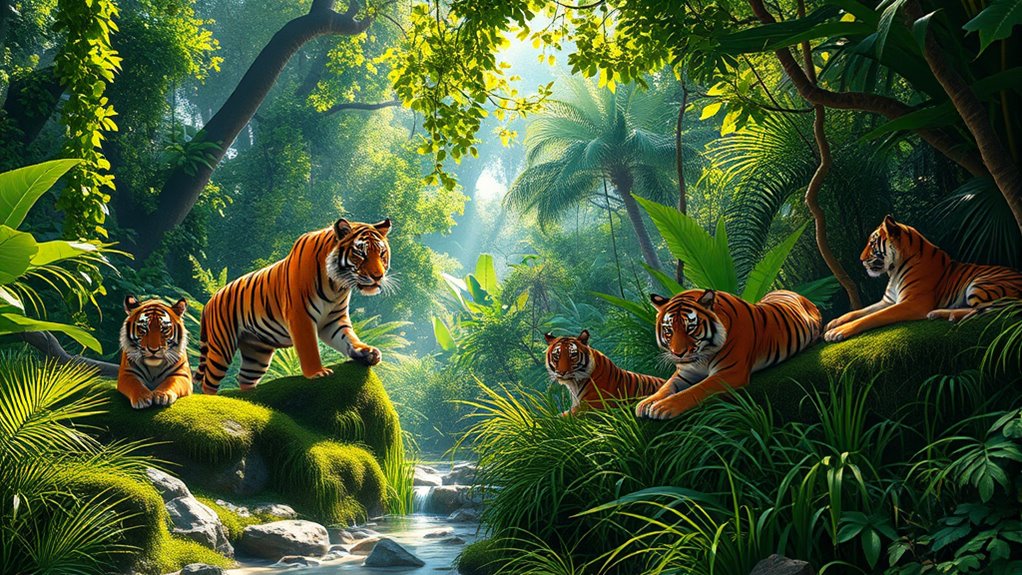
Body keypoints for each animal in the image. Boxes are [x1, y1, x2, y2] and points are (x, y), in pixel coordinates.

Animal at [196, 218, 391, 394]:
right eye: (361, 254)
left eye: (381, 253)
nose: (378, 276)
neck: (336, 285)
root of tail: (210, 300)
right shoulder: (300, 315)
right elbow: (309, 348)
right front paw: (317, 373)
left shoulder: (334, 319)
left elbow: (348, 338)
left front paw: (366, 352)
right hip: (222, 347)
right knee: (209, 381)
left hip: (257, 353)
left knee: (244, 377)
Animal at [636, 289, 822, 420]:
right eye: (669, 330)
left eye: (691, 328)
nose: (678, 354)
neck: (703, 356)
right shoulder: (686, 372)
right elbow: (667, 386)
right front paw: (646, 402)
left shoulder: (729, 372)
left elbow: (695, 390)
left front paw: (662, 407)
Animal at [823, 215, 1022, 342]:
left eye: (872, 243)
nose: (860, 259)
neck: (893, 271)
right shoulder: (888, 301)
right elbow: (859, 311)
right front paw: (833, 322)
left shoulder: (912, 303)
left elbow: (871, 317)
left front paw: (837, 331)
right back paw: (940, 313)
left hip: (979, 284)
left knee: (986, 309)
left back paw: (943, 314)